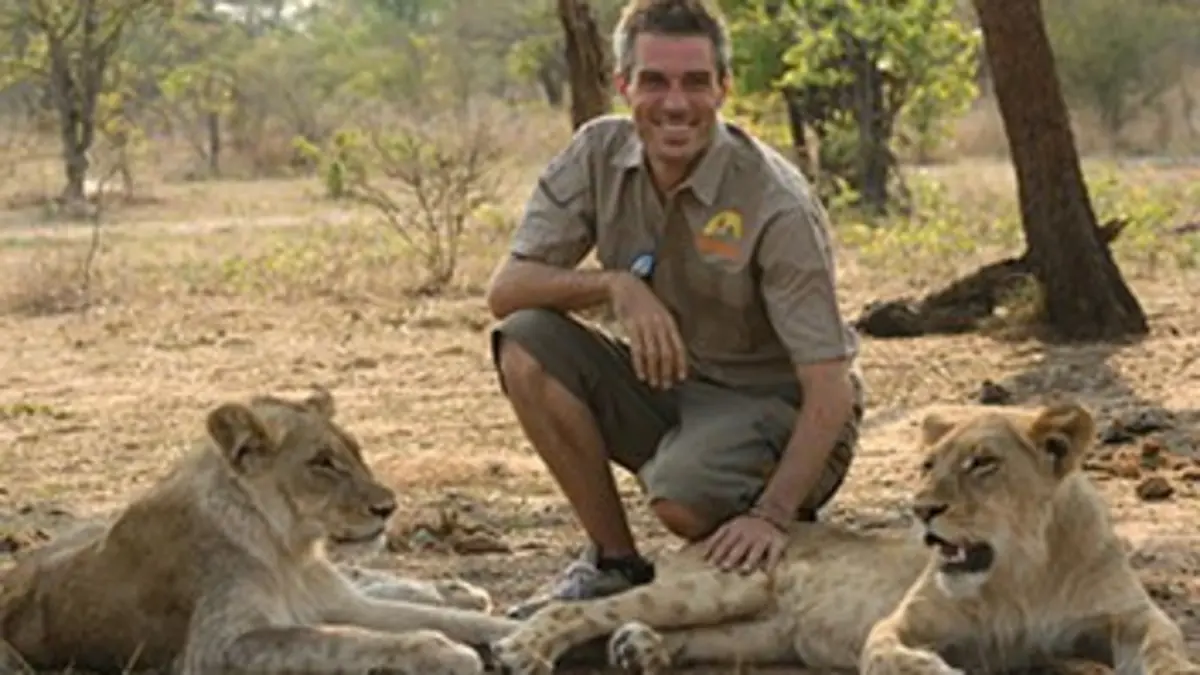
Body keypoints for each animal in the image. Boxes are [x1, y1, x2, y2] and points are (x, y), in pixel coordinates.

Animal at [0, 386, 518, 675]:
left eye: (355, 452)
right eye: (321, 463)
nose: (388, 508)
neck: (290, 550)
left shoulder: (338, 601)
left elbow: (446, 620)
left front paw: (514, 632)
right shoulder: (216, 648)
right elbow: (343, 639)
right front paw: (447, 652)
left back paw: (460, 591)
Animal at [489, 401, 1199, 675]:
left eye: (983, 463)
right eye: (927, 464)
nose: (921, 509)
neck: (1024, 569)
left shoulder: (1126, 616)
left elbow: (1164, 643)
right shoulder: (900, 625)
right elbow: (896, 657)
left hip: (757, 632)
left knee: (676, 635)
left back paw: (638, 649)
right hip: (722, 585)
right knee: (587, 610)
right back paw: (523, 648)